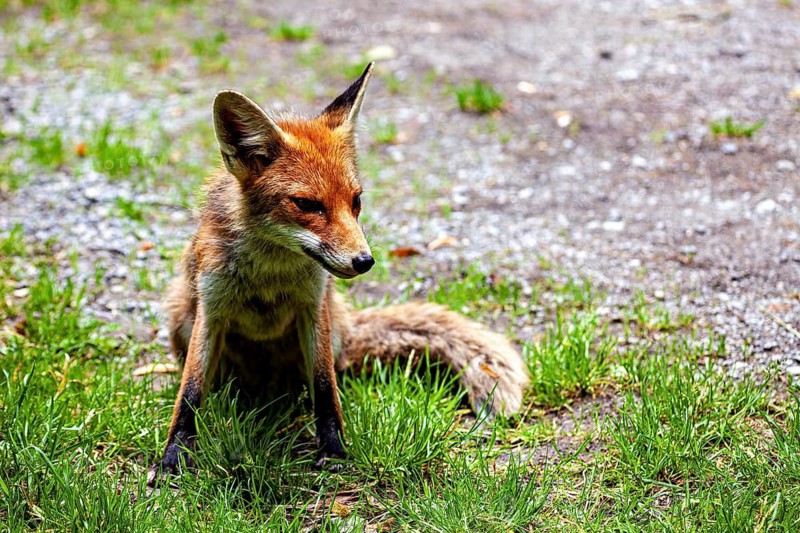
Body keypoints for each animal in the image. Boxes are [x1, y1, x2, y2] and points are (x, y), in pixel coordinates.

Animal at [148, 62, 530, 485]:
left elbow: (325, 390)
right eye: (307, 205)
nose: (364, 261)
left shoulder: (314, 309)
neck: (269, 276)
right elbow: (189, 394)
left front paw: (333, 451)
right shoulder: (211, 309)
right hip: (180, 315)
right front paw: (174, 458)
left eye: (356, 201)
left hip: (327, 333)